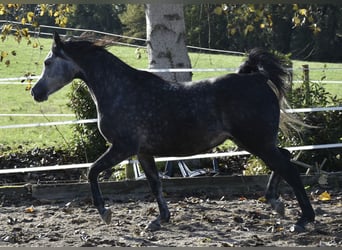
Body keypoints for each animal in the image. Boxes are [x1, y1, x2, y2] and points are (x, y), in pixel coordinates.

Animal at [32, 32, 316, 232]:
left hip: (256, 141)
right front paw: (160, 220)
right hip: (254, 141)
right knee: (286, 157)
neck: (121, 90)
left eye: (48, 62)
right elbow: (155, 183)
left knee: (288, 167)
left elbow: (91, 171)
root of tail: (257, 78)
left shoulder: (122, 148)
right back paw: (277, 204)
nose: (36, 92)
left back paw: (303, 219)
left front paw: (105, 213)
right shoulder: (143, 153)